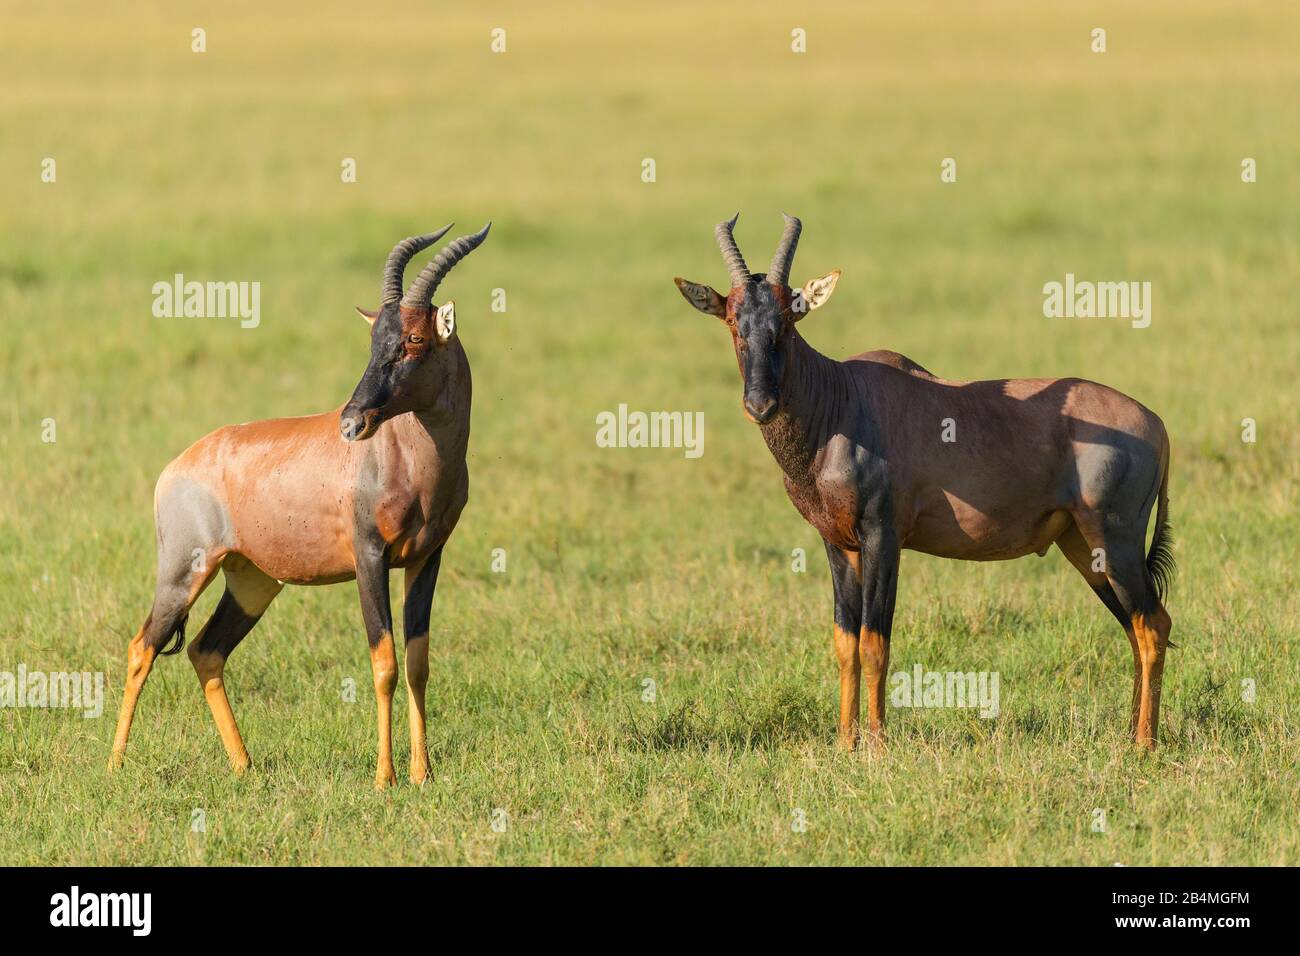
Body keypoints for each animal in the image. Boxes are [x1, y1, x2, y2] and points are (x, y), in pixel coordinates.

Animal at [106, 222, 488, 785]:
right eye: (373, 341)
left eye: (414, 338)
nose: (352, 423)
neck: (407, 454)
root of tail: (175, 469)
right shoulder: (369, 557)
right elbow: (384, 663)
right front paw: (385, 777)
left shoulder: (426, 558)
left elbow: (418, 663)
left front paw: (421, 774)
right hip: (183, 571)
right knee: (143, 647)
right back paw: (115, 764)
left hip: (253, 582)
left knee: (205, 651)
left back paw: (244, 765)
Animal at [676, 218, 1175, 754]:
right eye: (733, 321)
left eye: (789, 320)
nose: (760, 404)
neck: (842, 398)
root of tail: (1156, 423)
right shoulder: (837, 542)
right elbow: (845, 643)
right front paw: (845, 744)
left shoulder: (883, 536)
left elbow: (875, 641)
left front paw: (876, 746)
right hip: (1083, 546)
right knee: (1137, 625)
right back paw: (1129, 735)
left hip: (1115, 539)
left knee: (1152, 624)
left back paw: (1143, 745)